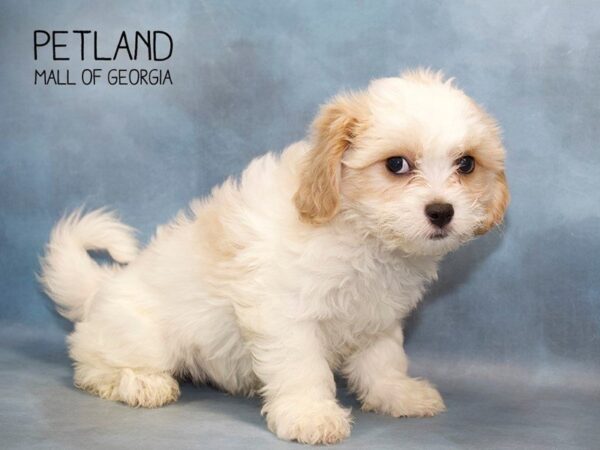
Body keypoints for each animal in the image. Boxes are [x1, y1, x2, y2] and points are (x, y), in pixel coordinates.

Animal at [39, 69, 508, 442]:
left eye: (466, 165)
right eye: (396, 164)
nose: (441, 211)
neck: (359, 232)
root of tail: (103, 286)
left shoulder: (377, 315)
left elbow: (384, 359)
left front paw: (397, 393)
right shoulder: (285, 313)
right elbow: (302, 367)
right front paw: (310, 414)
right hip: (142, 337)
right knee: (89, 363)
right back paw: (141, 384)